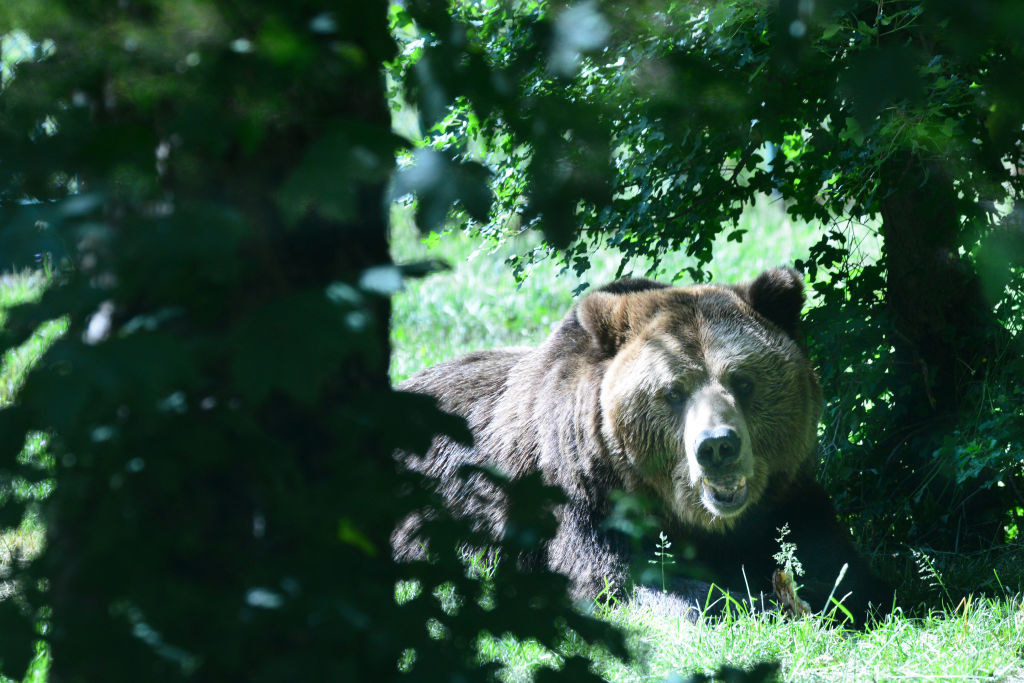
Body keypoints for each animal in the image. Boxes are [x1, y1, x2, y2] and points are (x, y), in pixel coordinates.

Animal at [395, 268, 892, 626]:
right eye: (673, 392)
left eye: (742, 381)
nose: (717, 446)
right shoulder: (582, 501)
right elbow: (620, 585)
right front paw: (755, 602)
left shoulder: (787, 498)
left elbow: (841, 571)